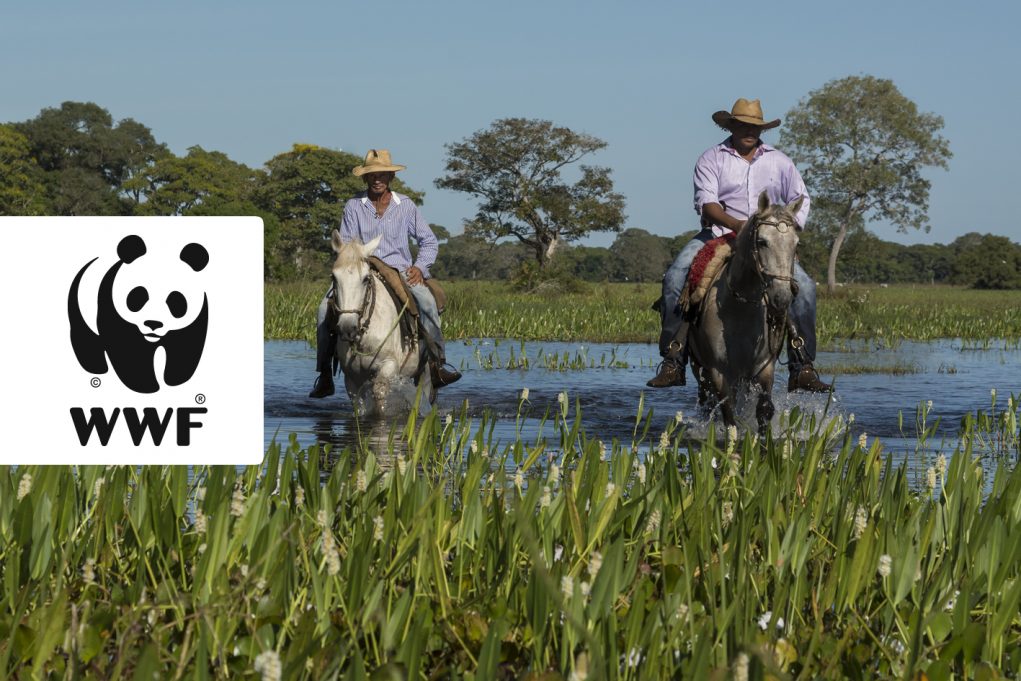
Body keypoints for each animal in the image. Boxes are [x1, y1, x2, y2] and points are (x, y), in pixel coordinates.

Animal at [324, 230, 432, 416]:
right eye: (334, 277)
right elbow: (358, 404)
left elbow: (379, 394)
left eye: (366, 279)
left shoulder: (388, 366)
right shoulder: (351, 379)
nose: (347, 328)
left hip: (424, 373)